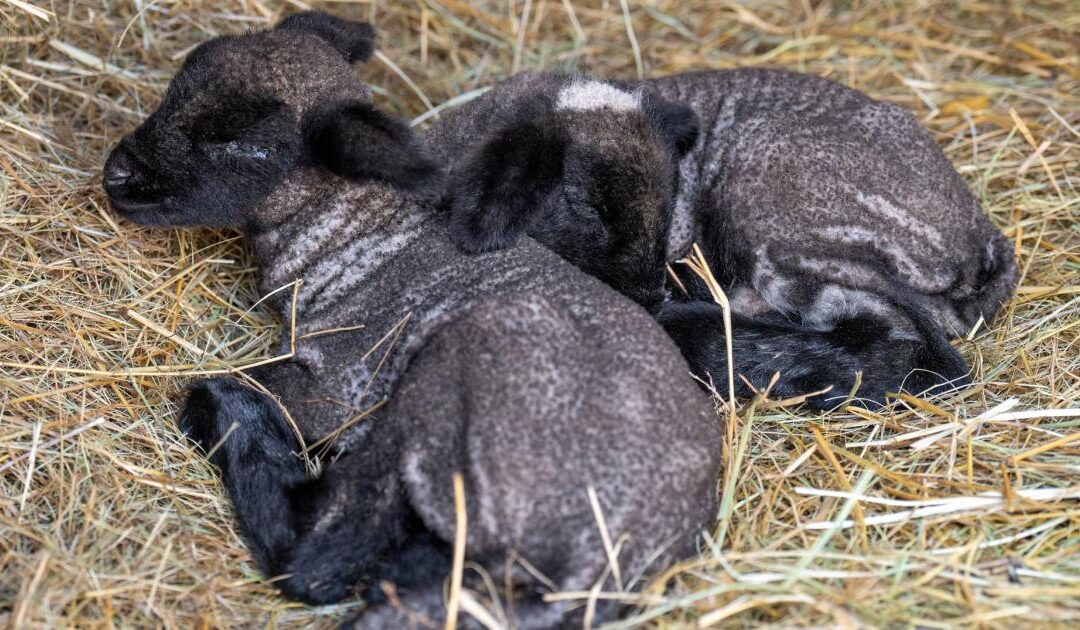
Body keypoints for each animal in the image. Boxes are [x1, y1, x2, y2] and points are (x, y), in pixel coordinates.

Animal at [101, 12, 721, 626]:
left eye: (248, 147)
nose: (117, 175)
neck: (347, 231)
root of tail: (591, 570)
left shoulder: (341, 385)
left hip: (443, 384)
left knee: (322, 552)